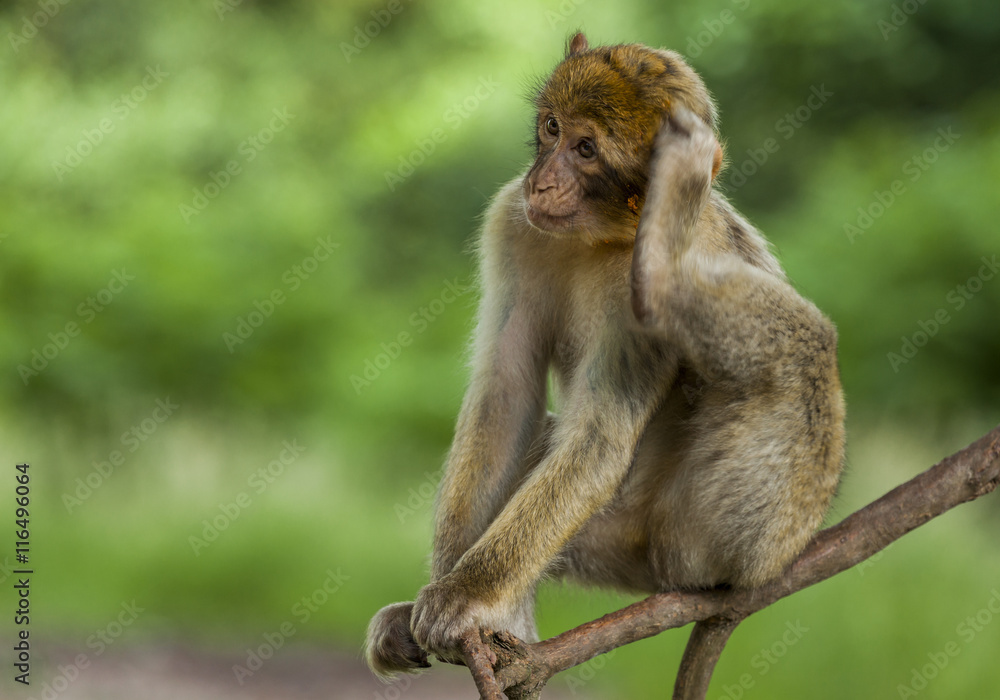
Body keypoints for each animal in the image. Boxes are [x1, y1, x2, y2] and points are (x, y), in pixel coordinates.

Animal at [366, 32, 844, 680]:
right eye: (551, 128)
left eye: (587, 149)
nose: (541, 182)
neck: (598, 236)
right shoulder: (513, 221)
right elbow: (504, 398)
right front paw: (450, 596)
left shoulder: (627, 282)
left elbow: (600, 434)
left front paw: (466, 594)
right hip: (603, 538)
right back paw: (511, 628)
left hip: (734, 535)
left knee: (809, 349)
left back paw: (664, 274)